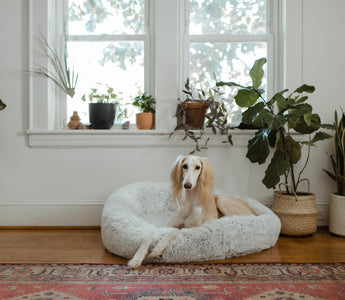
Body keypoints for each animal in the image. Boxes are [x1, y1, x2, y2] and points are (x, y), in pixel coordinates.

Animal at [127, 155, 256, 268]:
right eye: (184, 166)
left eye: (198, 167)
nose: (187, 185)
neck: (190, 202)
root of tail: (255, 211)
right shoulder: (167, 225)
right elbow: (150, 234)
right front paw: (136, 259)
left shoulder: (191, 228)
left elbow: (175, 231)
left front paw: (157, 249)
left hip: (221, 200)